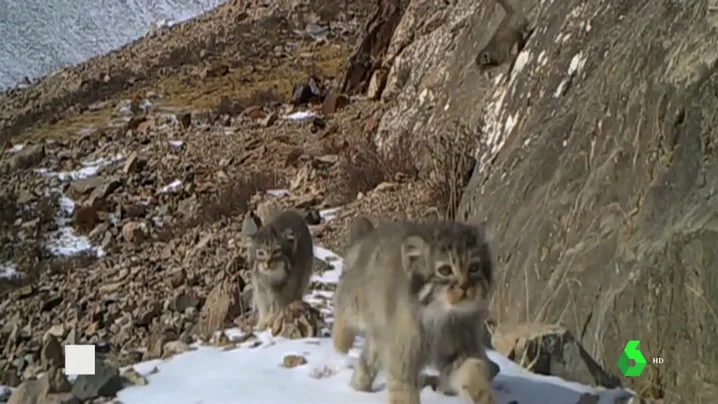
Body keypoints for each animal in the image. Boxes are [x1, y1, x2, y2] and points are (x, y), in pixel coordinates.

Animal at [332, 219, 496, 404]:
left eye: (474, 267)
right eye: (445, 270)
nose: (465, 286)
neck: (442, 316)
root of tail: (369, 235)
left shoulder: (461, 350)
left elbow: (472, 372)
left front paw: (484, 396)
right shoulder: (403, 358)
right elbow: (404, 393)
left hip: (381, 335)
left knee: (367, 359)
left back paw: (358, 387)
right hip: (356, 303)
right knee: (341, 308)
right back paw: (340, 348)